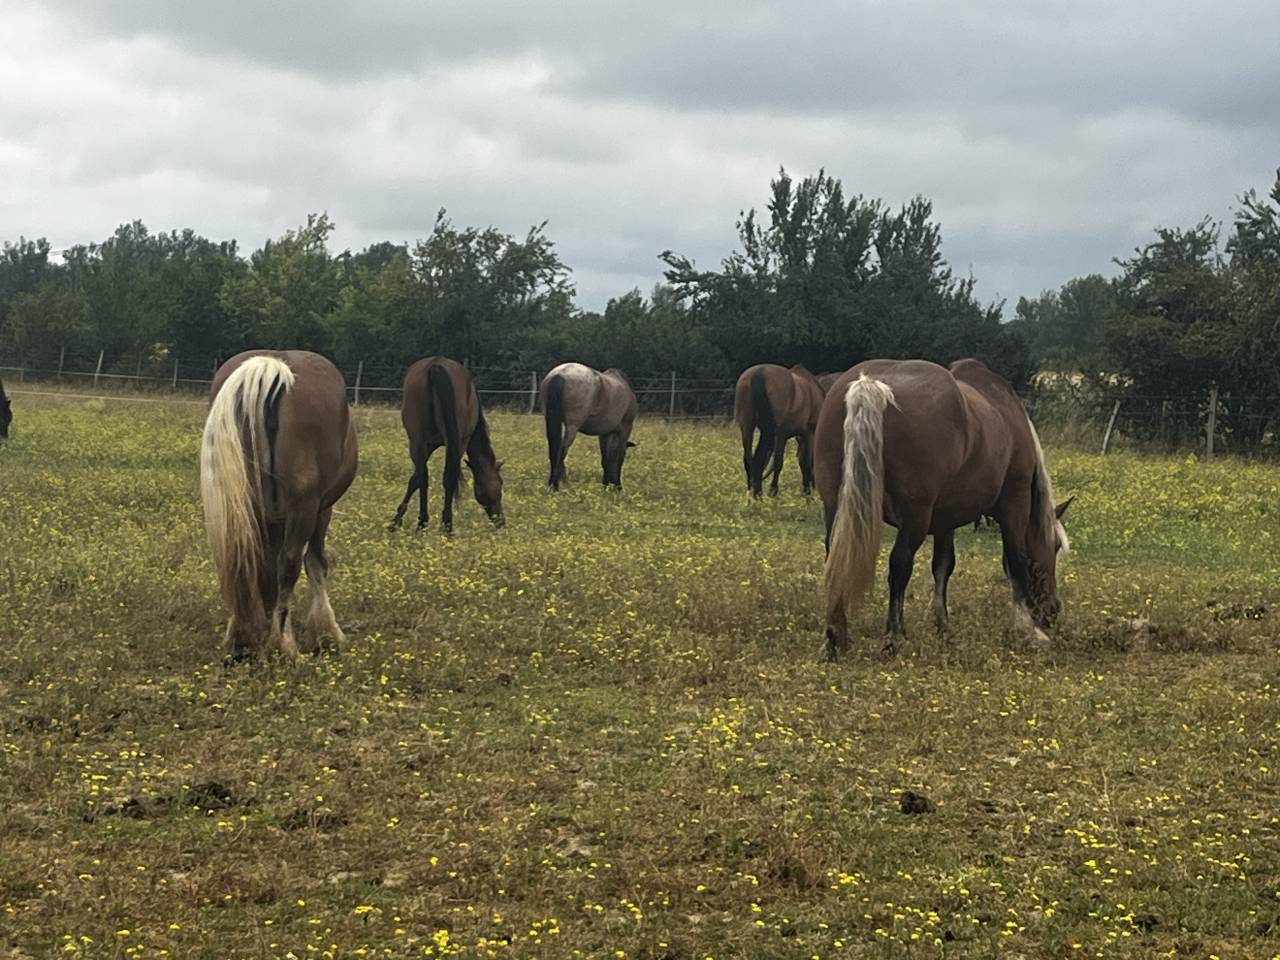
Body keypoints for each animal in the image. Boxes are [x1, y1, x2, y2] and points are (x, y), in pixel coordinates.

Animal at [200, 350, 358, 661]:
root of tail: (271, 366)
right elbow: (315, 562)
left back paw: (245, 635)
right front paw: (328, 630)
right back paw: (285, 644)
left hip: (247, 504)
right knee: (290, 562)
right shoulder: (321, 510)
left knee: (247, 556)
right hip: (304, 508)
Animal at [389, 356, 505, 533]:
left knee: (424, 476)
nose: (501, 522)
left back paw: (423, 524)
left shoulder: (426, 446)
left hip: (417, 441)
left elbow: (416, 479)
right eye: (500, 483)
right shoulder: (461, 441)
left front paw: (397, 520)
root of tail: (435, 364)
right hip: (454, 443)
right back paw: (446, 525)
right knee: (446, 477)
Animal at [540, 362, 637, 491]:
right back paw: (555, 485)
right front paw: (618, 486)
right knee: (561, 451)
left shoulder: (604, 433)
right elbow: (619, 457)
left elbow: (605, 458)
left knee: (554, 449)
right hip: (572, 427)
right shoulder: (625, 430)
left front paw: (605, 484)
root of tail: (560, 374)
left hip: (551, 420)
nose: (612, 483)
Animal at [733, 363, 825, 497]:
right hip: (779, 432)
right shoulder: (808, 432)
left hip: (748, 426)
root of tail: (759, 372)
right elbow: (806, 463)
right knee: (776, 462)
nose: (816, 487)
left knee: (750, 460)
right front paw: (807, 494)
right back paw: (772, 492)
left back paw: (754, 495)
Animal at [816, 358, 1072, 661]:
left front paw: (941, 625)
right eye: (1055, 546)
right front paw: (1029, 630)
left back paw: (836, 638)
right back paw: (893, 638)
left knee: (836, 557)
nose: (1052, 610)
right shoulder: (1015, 502)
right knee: (899, 565)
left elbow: (943, 565)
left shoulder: (945, 520)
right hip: (915, 517)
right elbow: (1017, 559)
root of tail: (870, 384)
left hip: (836, 507)